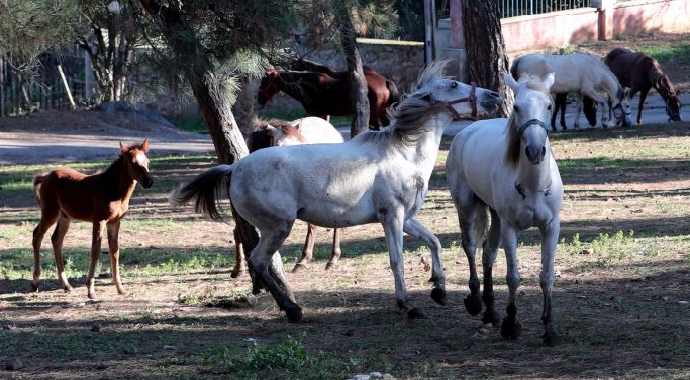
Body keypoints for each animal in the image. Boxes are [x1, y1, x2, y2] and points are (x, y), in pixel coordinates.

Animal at [31, 140, 153, 300]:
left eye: (147, 162)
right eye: (133, 163)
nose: (149, 182)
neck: (112, 189)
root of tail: (46, 177)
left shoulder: (114, 222)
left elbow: (115, 251)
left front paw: (120, 289)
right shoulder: (99, 220)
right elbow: (95, 251)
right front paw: (91, 290)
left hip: (65, 216)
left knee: (56, 240)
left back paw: (66, 285)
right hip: (50, 212)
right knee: (37, 235)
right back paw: (35, 283)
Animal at [256, 62, 398, 127]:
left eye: (265, 80)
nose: (259, 98)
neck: (308, 86)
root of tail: (385, 81)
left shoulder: (316, 114)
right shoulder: (325, 114)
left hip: (373, 114)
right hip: (383, 113)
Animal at [446, 72, 564, 346]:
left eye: (549, 106)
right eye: (517, 107)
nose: (535, 151)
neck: (533, 187)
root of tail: (466, 132)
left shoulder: (551, 227)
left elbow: (547, 276)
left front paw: (550, 327)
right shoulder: (511, 228)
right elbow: (513, 277)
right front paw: (511, 324)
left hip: (496, 217)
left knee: (488, 254)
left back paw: (490, 310)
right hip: (466, 206)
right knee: (470, 247)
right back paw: (476, 300)